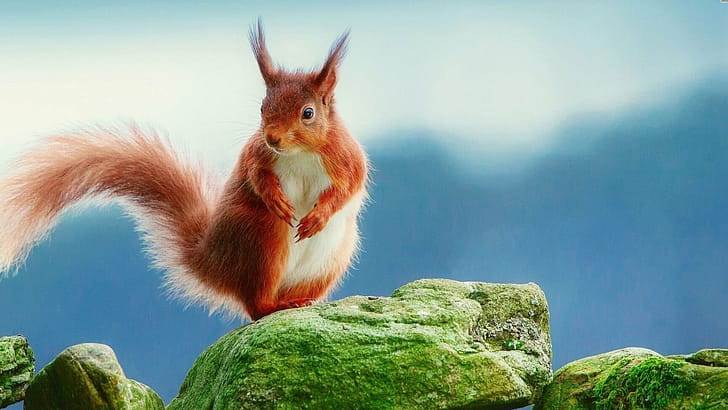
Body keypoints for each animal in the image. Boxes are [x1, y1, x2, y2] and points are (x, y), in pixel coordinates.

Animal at [0, 21, 368, 321]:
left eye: (308, 113)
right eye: (263, 108)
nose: (273, 137)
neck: (299, 153)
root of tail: (214, 262)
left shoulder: (346, 158)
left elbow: (349, 187)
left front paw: (319, 216)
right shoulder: (256, 154)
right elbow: (256, 176)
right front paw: (275, 198)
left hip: (331, 258)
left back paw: (302, 302)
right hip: (262, 239)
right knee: (255, 305)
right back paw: (275, 304)